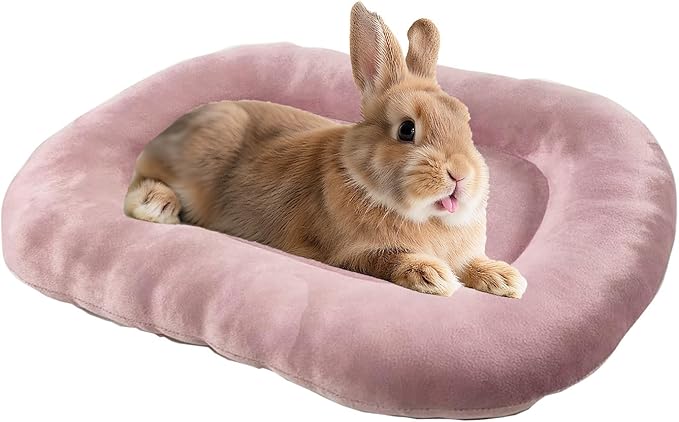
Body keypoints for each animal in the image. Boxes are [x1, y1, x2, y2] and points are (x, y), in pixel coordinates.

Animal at [123, 2, 527, 298]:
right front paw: (433, 275)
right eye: (407, 129)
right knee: (137, 186)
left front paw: (507, 279)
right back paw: (156, 205)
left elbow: (472, 263)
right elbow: (388, 258)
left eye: (466, 121)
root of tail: (171, 127)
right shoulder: (349, 252)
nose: (461, 175)